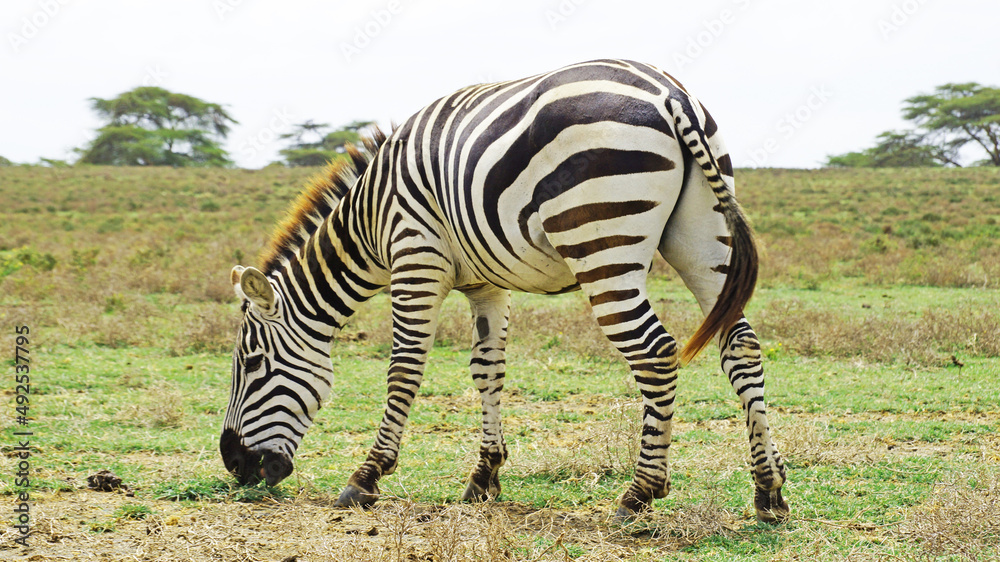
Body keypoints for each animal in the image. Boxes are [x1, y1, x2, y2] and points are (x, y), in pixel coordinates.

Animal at [220, 59, 788, 522]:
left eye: (251, 363)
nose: (233, 463)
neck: (370, 218)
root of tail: (670, 94)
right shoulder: (486, 285)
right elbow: (487, 370)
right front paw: (484, 477)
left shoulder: (415, 258)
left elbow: (403, 370)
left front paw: (367, 477)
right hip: (704, 237)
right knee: (741, 345)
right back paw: (768, 488)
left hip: (603, 244)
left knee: (654, 353)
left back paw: (640, 492)